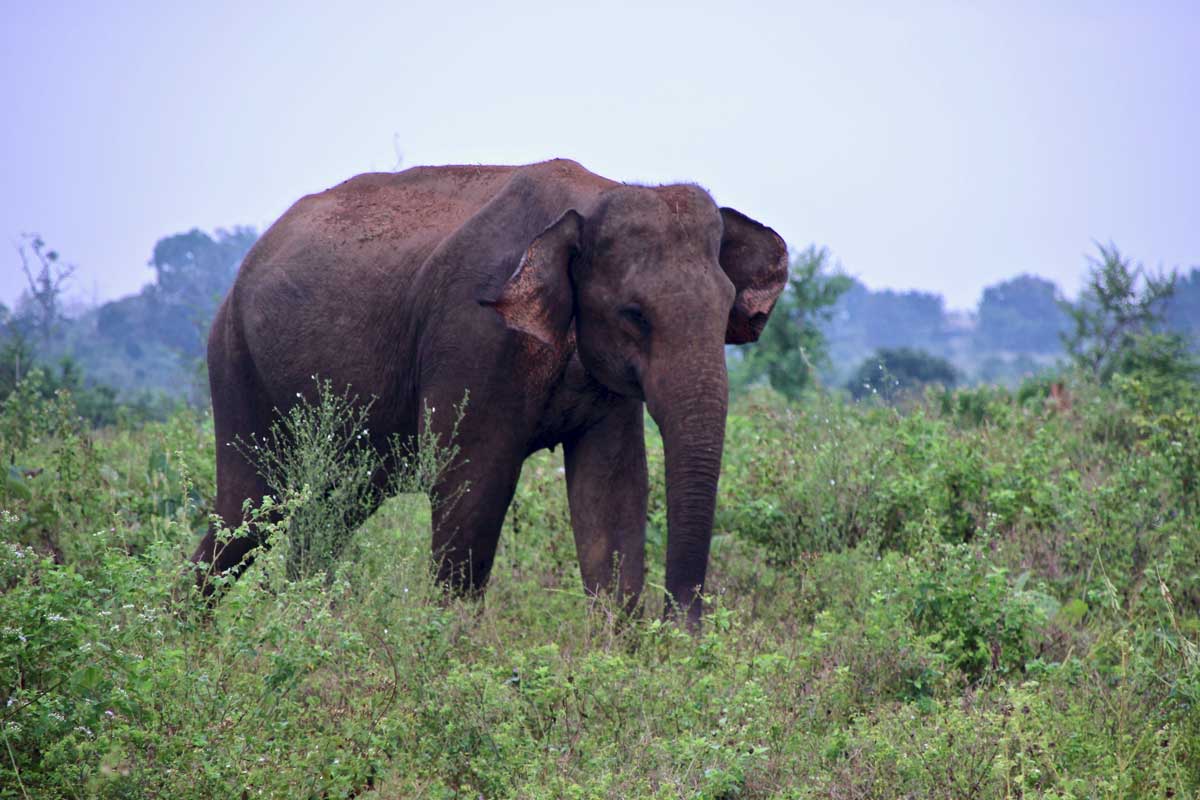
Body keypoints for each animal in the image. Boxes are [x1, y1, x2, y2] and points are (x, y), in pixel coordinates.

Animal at [189, 158, 787, 623]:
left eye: (725, 310)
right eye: (634, 315)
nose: (682, 630)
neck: (594, 197)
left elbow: (613, 494)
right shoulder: (473, 336)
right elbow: (472, 485)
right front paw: (447, 652)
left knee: (327, 513)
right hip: (236, 366)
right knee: (247, 510)